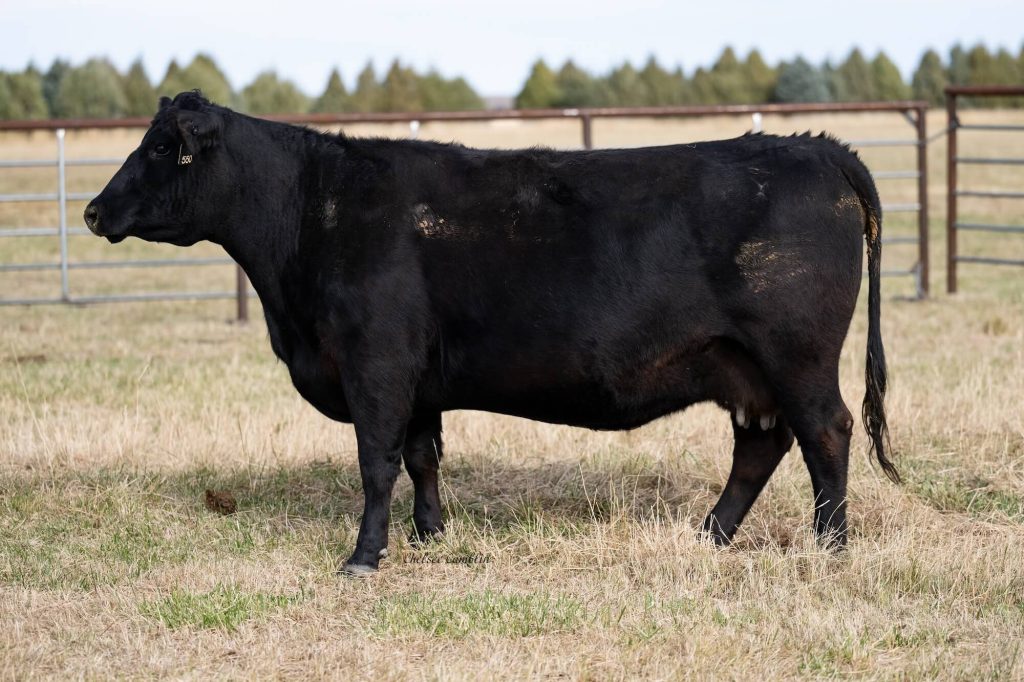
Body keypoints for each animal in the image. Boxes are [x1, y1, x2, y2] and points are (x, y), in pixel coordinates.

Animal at [85, 91, 897, 575]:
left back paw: (830, 547)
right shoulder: (417, 382)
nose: (93, 210)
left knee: (826, 434)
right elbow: (422, 458)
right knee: (760, 446)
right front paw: (430, 535)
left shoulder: (375, 363)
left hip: (796, 356)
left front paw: (365, 556)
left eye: (159, 149)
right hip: (744, 368)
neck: (313, 211)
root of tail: (816, 145)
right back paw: (710, 535)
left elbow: (375, 463)